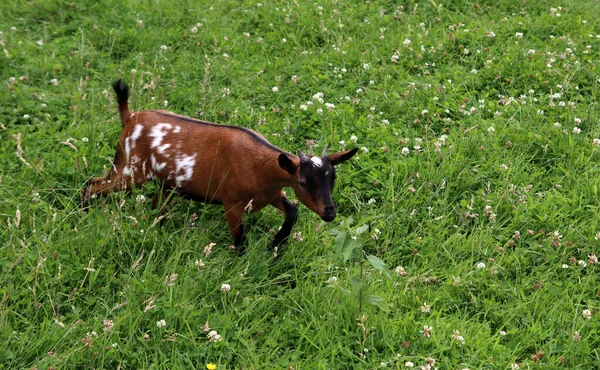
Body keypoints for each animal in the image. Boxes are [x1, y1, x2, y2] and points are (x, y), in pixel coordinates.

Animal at [82, 80, 358, 249]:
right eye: (302, 181)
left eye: (333, 178)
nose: (330, 213)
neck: (260, 168)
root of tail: (130, 117)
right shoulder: (232, 203)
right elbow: (240, 240)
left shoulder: (271, 194)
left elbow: (292, 210)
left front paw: (276, 244)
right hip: (130, 170)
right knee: (93, 185)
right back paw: (83, 212)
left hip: (160, 181)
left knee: (149, 203)